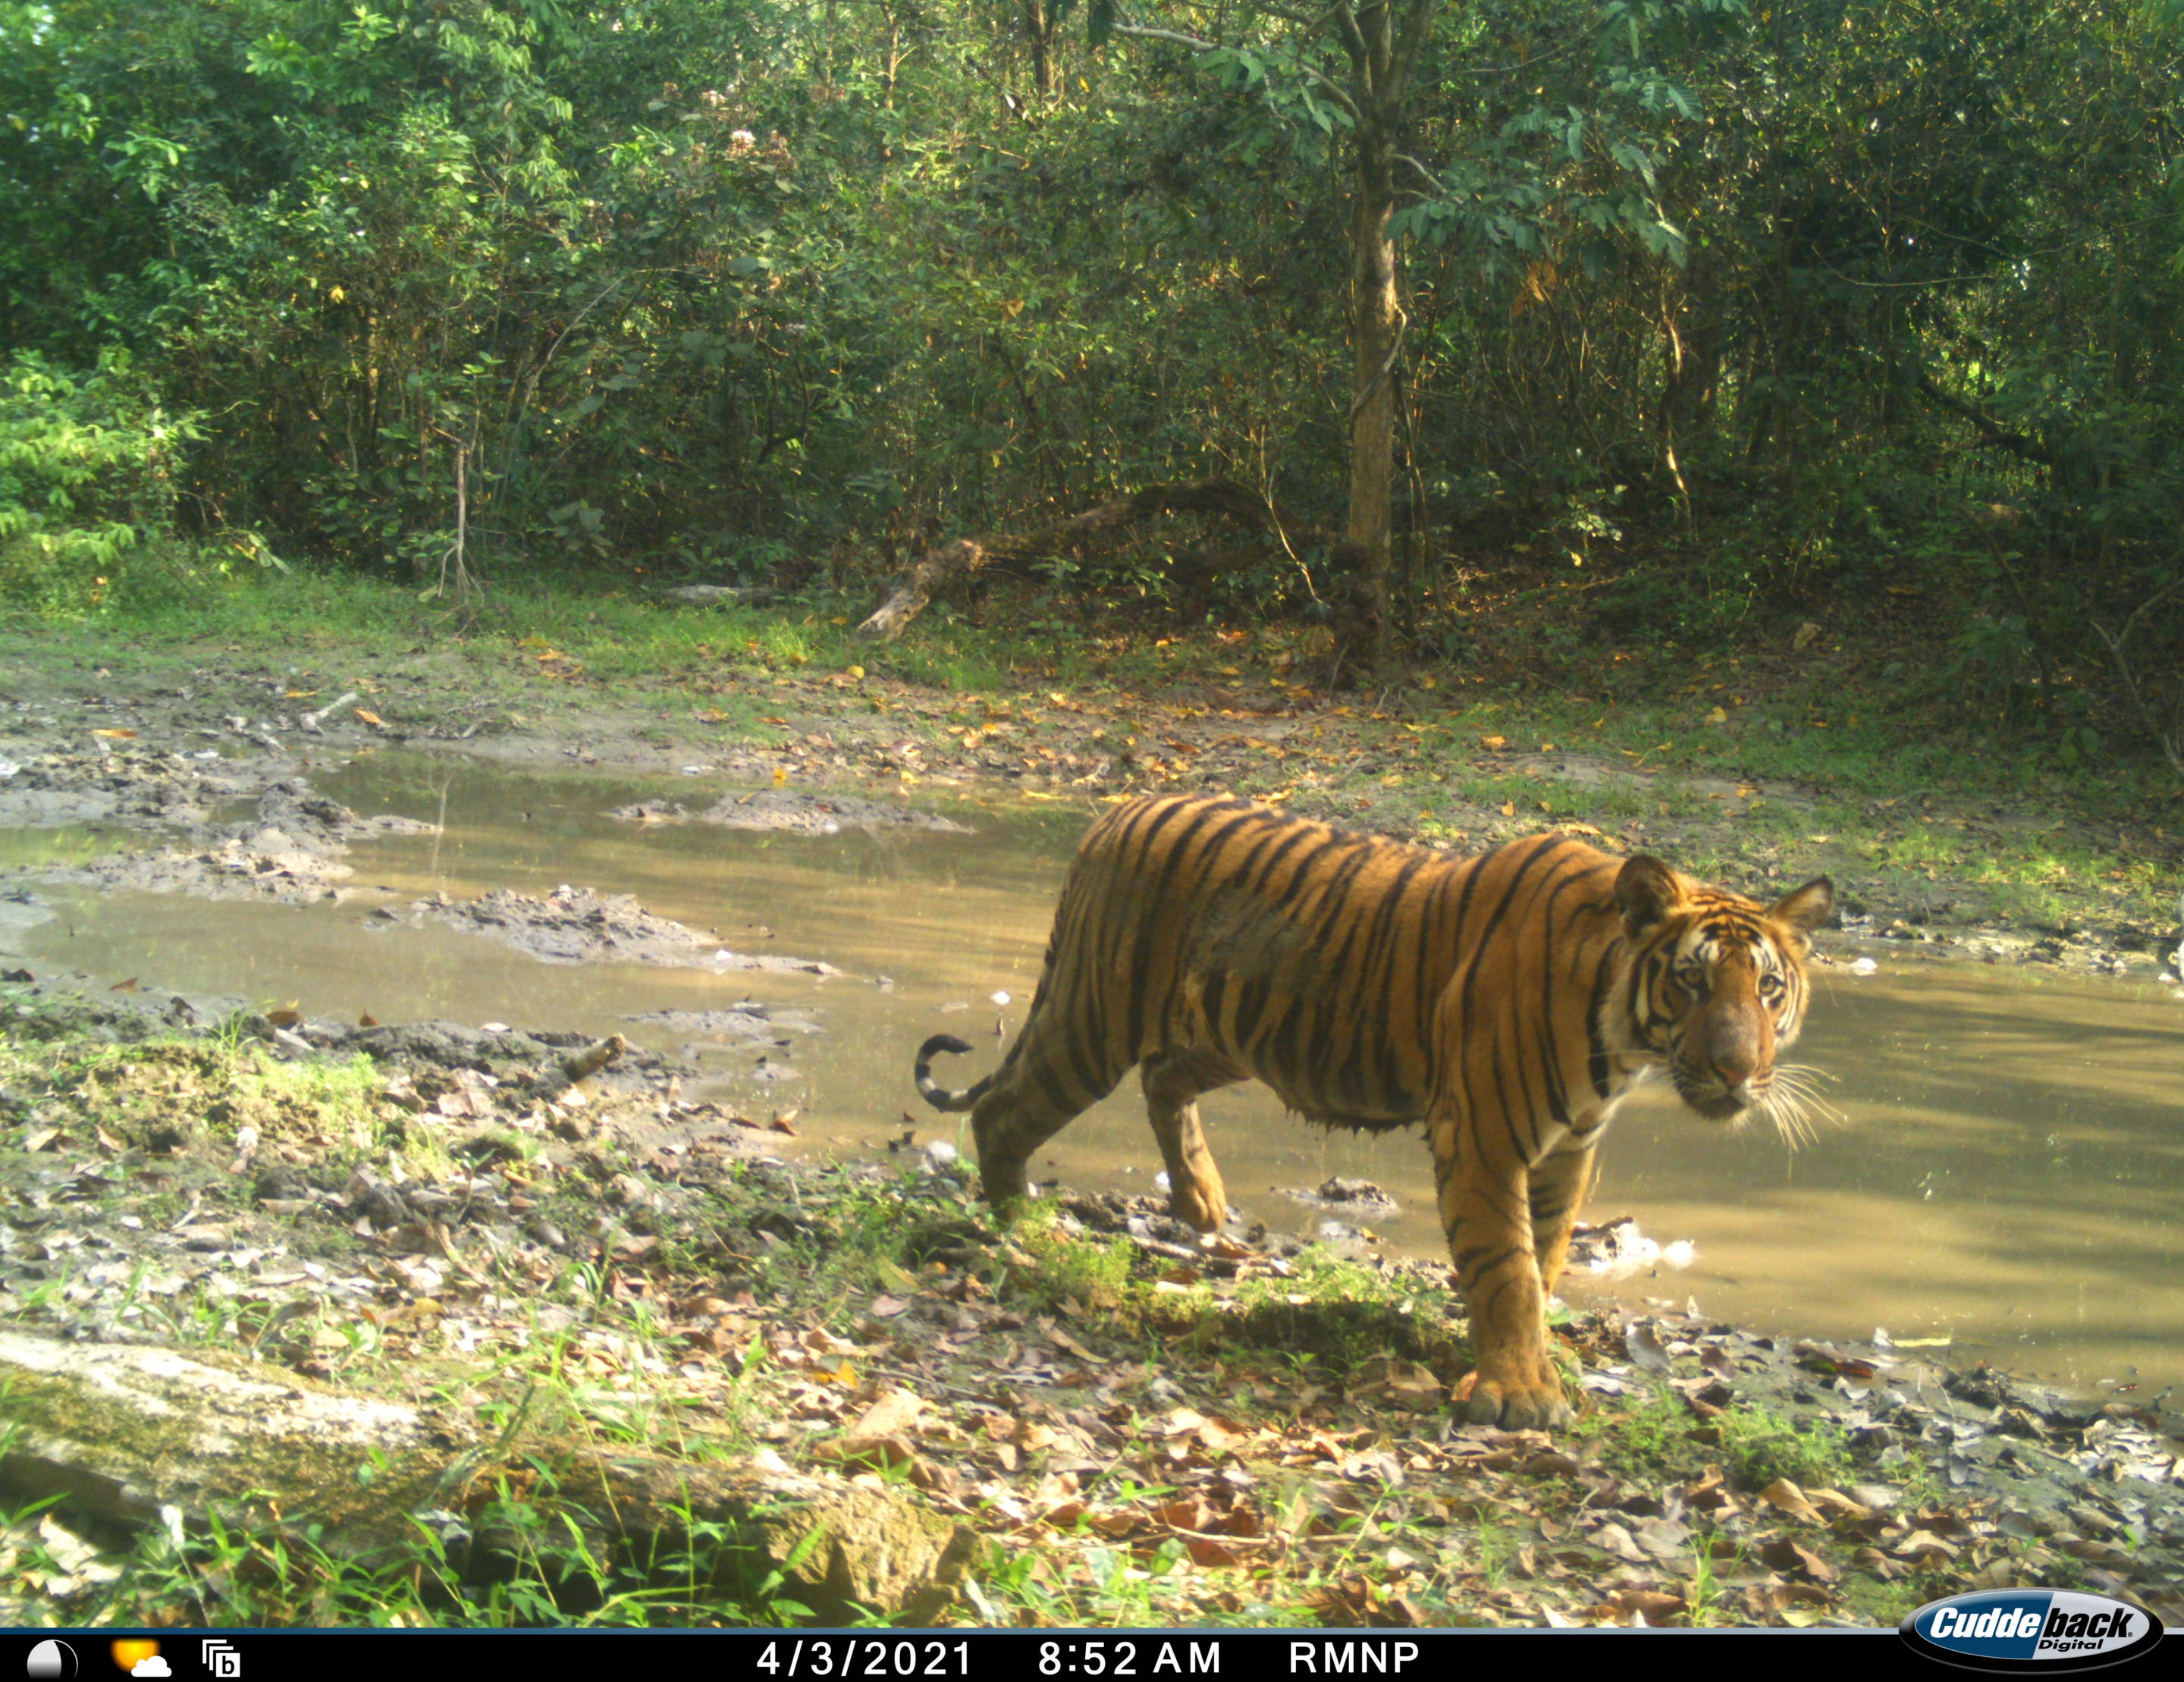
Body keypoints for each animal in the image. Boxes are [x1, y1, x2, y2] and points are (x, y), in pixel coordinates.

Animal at [912, 795, 1834, 1424]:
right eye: (1691, 981)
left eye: (1768, 988)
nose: (1739, 1070)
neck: (1621, 1042)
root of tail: (1116, 813)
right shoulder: (1483, 1135)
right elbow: (1507, 1268)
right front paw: (1521, 1395)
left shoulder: (1570, 1151)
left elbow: (1543, 1260)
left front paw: (1518, 1366)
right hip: (1092, 1018)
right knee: (1005, 1112)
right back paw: (1022, 1230)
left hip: (1230, 1030)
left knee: (1161, 1081)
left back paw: (1203, 1204)